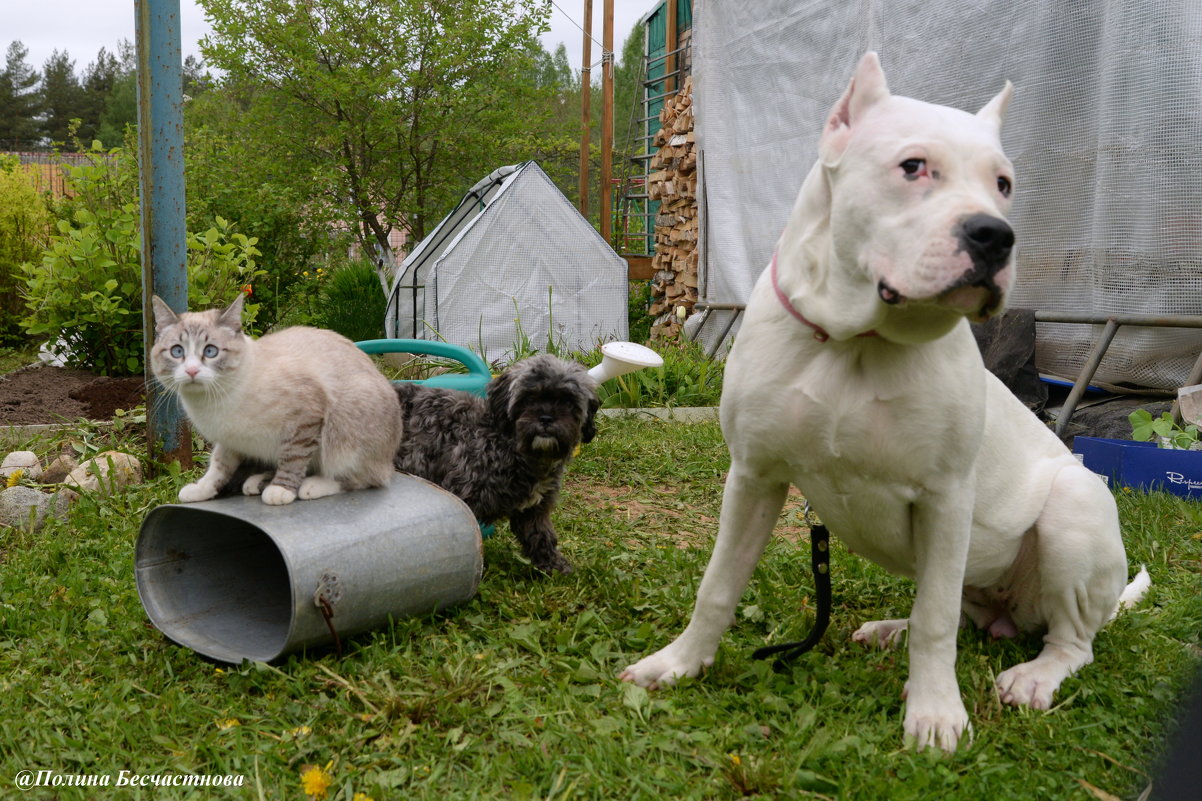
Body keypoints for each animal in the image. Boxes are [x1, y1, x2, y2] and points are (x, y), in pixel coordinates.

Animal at [150, 293, 401, 505]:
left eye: (210, 351)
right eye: (177, 352)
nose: (191, 371)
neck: (212, 402)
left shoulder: (304, 418)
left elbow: (293, 458)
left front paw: (281, 490)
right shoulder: (228, 439)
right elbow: (218, 467)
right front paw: (201, 489)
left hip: (345, 437)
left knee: (365, 478)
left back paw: (310, 486)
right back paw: (257, 482)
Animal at [620, 54, 1144, 750]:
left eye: (1003, 184)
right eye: (913, 166)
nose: (995, 235)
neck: (856, 339)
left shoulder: (946, 498)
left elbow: (937, 620)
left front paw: (935, 713)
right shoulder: (754, 476)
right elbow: (719, 584)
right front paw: (679, 664)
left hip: (1073, 505)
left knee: (1064, 639)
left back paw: (1033, 676)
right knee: (959, 612)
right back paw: (892, 630)